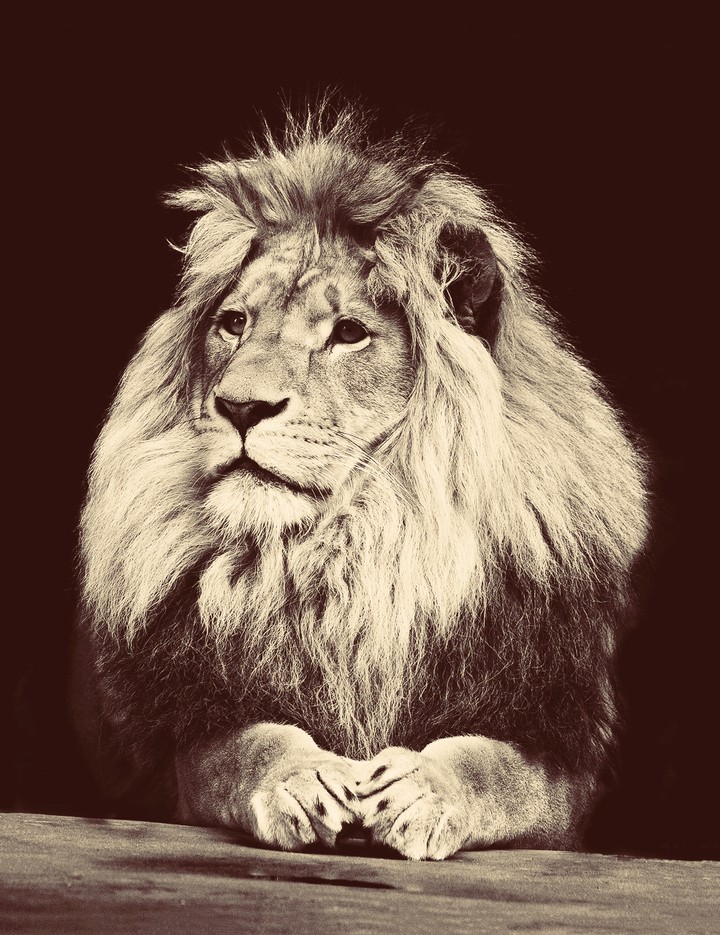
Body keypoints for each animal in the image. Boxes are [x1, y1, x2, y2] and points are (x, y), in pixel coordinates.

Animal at [71, 105, 649, 860]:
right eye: (233, 323)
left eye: (348, 333)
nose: (240, 407)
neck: (357, 550)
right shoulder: (181, 739)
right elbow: (243, 747)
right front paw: (300, 779)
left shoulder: (560, 748)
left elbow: (495, 767)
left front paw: (423, 789)